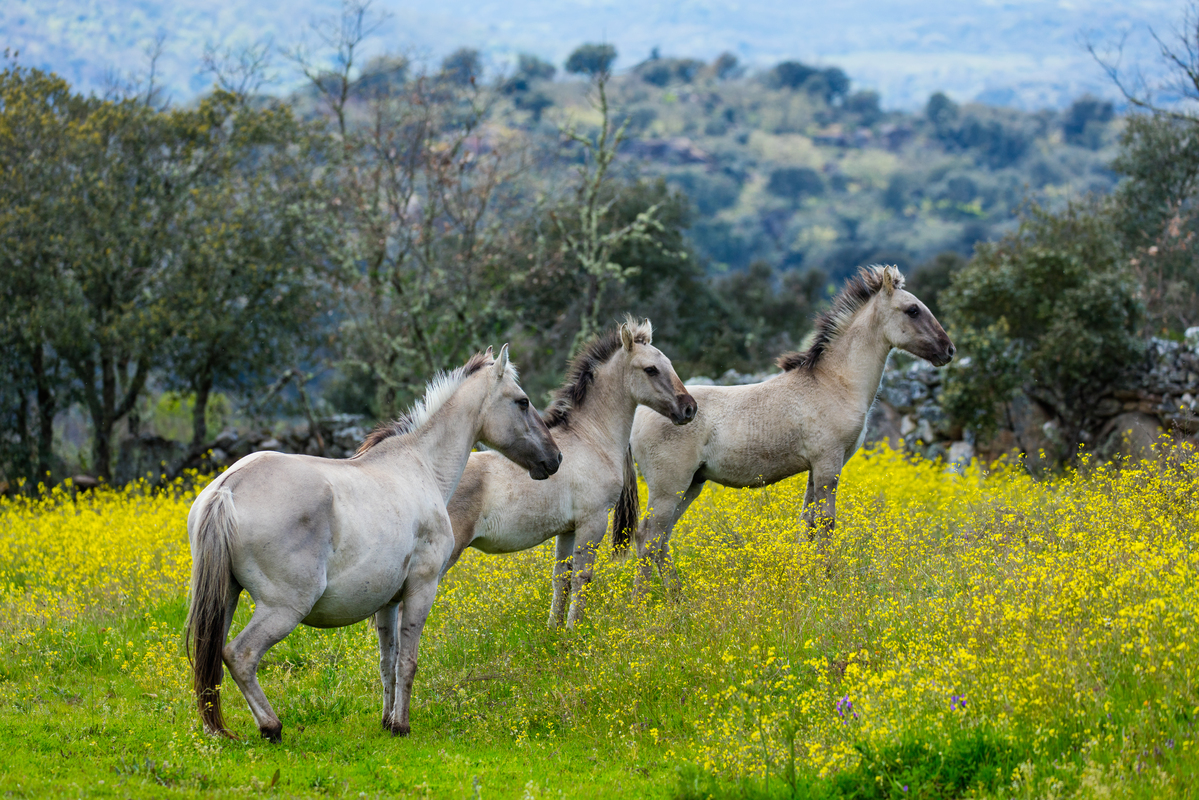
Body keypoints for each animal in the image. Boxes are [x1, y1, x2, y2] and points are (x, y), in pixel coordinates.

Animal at [187, 347, 561, 743]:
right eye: (522, 402)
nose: (555, 458)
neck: (422, 466)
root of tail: (228, 487)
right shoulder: (420, 590)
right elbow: (408, 662)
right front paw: (402, 725)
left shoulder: (388, 603)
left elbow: (388, 662)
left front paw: (386, 721)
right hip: (284, 607)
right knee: (239, 655)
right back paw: (271, 726)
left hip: (227, 598)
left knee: (213, 658)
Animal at [448, 316, 695, 623]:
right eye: (651, 369)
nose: (689, 408)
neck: (590, 438)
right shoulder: (593, 521)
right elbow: (582, 576)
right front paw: (573, 628)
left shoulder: (566, 530)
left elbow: (561, 579)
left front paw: (554, 629)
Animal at [618, 266, 954, 592]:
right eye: (912, 310)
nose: (948, 350)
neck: (835, 384)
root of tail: (637, 419)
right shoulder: (828, 463)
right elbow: (826, 522)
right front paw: (827, 580)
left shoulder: (815, 468)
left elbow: (808, 521)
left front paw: (808, 578)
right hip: (668, 487)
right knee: (648, 538)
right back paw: (642, 602)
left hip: (690, 485)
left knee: (661, 538)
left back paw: (677, 597)